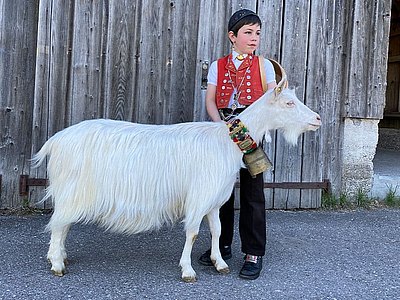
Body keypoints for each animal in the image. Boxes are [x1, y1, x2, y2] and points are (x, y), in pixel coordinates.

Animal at [32, 71, 322, 282]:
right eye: (289, 103)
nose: (318, 119)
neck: (225, 142)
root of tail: (55, 141)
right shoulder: (199, 196)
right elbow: (192, 232)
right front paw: (188, 270)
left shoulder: (214, 199)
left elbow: (217, 230)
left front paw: (219, 263)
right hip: (72, 191)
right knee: (58, 225)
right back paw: (57, 264)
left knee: (62, 224)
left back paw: (60, 257)